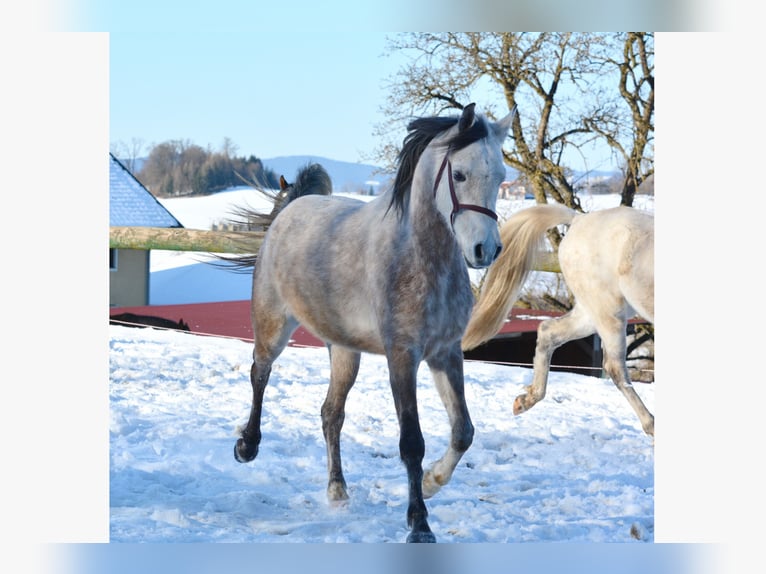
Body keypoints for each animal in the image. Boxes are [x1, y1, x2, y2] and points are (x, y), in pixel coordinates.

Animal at [229, 103, 515, 542]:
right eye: (460, 174)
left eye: (500, 176)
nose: (486, 250)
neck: (421, 258)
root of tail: (292, 208)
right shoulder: (402, 355)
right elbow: (412, 442)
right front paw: (419, 524)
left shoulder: (445, 353)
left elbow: (462, 431)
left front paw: (432, 483)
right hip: (273, 326)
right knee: (259, 374)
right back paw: (247, 446)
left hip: (345, 351)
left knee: (331, 414)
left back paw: (337, 491)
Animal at [462, 204, 655, 437]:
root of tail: (579, 220)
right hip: (609, 311)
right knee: (615, 367)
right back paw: (651, 425)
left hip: (592, 313)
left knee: (548, 331)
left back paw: (526, 400)